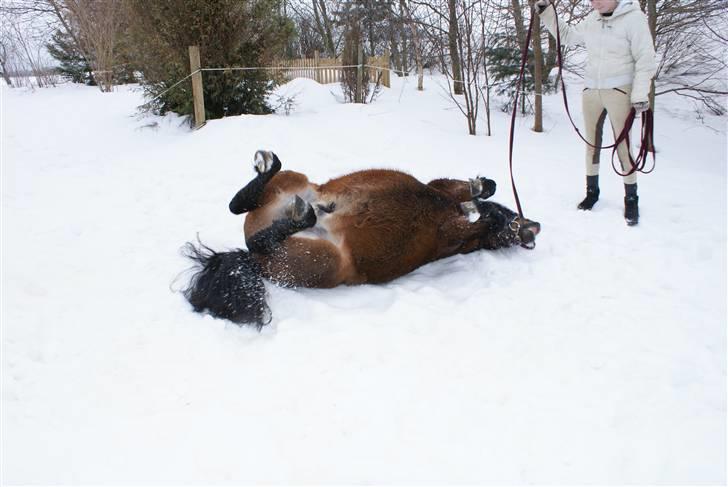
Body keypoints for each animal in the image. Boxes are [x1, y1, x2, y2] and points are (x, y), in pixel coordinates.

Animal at [182, 151, 540, 330]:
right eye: (515, 222)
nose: (533, 227)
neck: (444, 207)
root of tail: (254, 263)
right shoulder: (439, 192)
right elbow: (482, 190)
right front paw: (480, 194)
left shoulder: (450, 230)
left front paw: (478, 207)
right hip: (298, 187)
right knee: (243, 211)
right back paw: (277, 175)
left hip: (321, 256)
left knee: (253, 233)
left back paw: (301, 212)